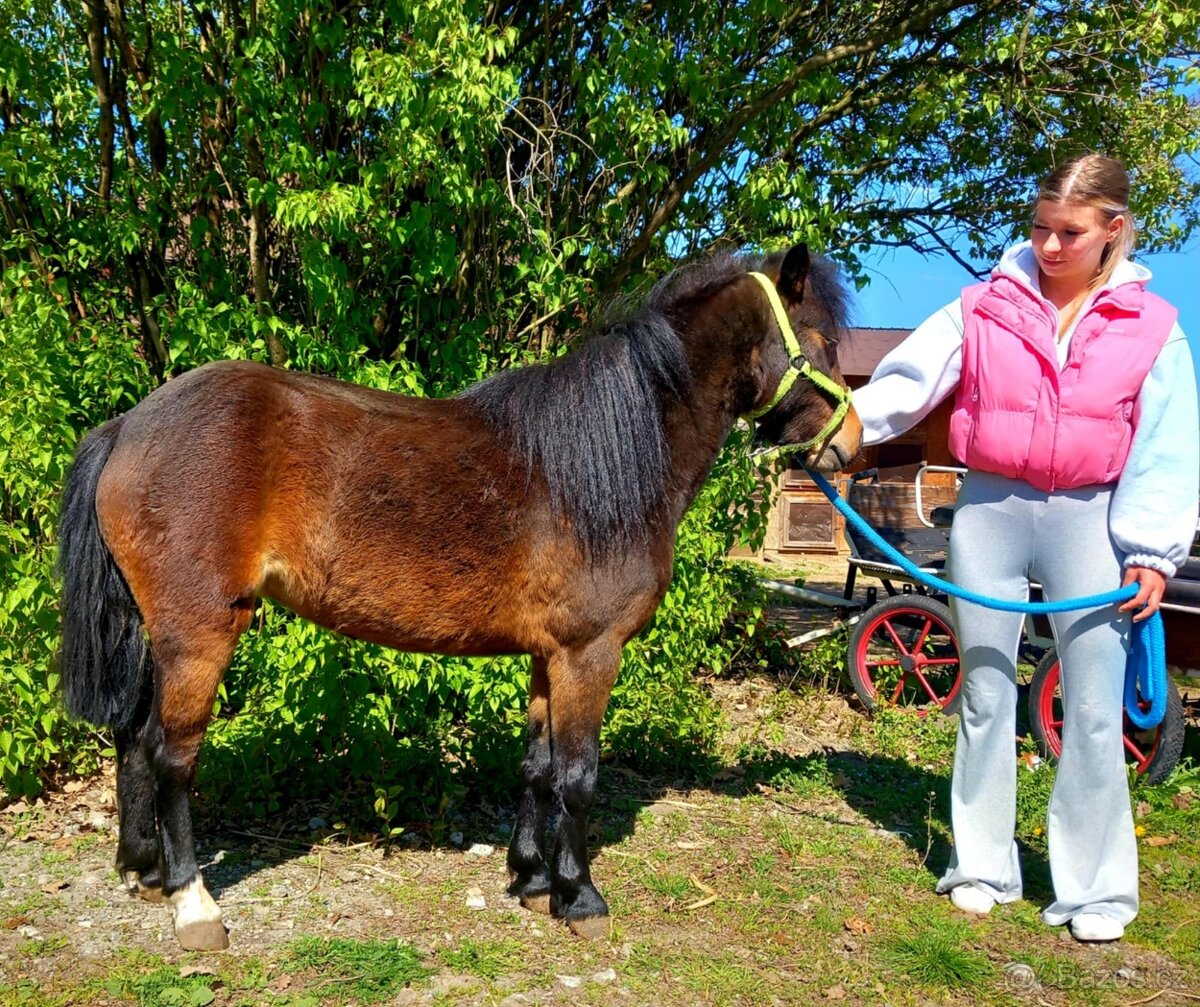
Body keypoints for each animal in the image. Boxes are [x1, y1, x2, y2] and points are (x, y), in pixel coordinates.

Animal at [57, 243, 862, 951]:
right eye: (821, 342)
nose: (850, 443)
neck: (603, 462)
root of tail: (129, 425)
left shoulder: (548, 655)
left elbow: (537, 767)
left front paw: (531, 879)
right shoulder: (590, 653)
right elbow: (578, 776)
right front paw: (580, 897)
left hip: (156, 632)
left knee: (132, 739)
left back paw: (143, 871)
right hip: (199, 631)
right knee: (171, 755)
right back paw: (193, 903)